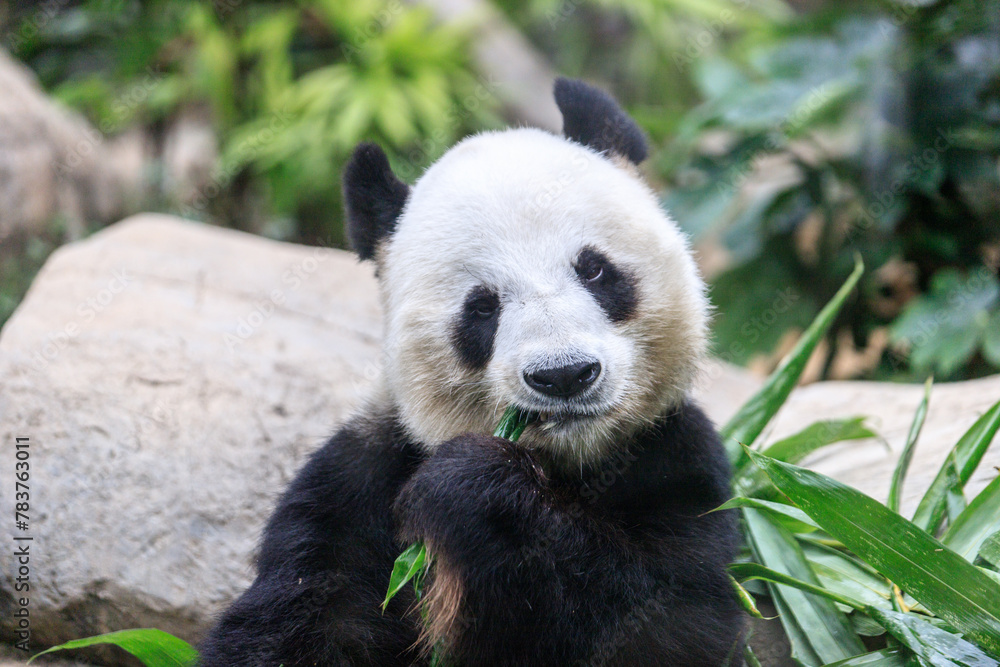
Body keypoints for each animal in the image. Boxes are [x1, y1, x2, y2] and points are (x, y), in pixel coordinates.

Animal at [200, 78, 744, 666]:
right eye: (481, 306)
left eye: (595, 270)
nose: (564, 376)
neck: (565, 464)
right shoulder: (358, 481)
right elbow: (301, 617)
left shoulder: (673, 458)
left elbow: (668, 619)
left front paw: (473, 485)